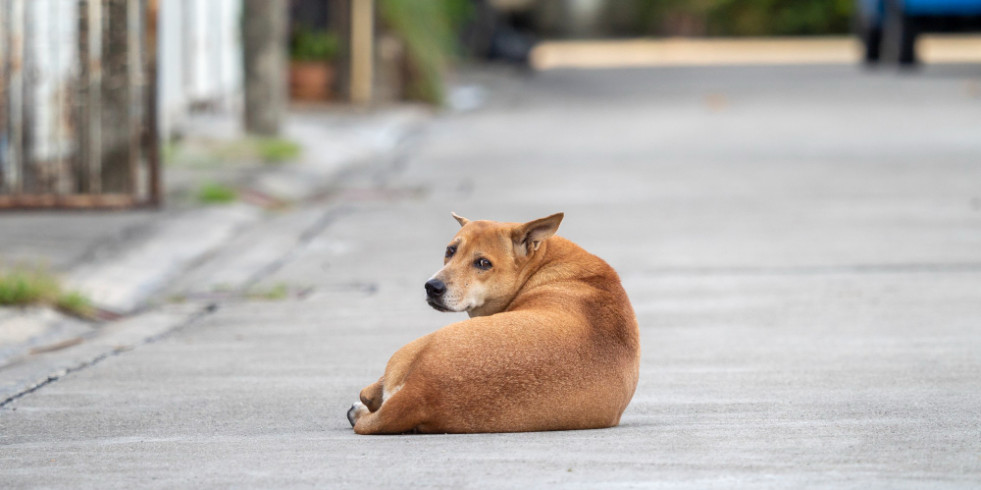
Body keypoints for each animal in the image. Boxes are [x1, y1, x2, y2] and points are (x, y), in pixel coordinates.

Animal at [348, 212, 640, 434]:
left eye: (483, 263)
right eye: (450, 251)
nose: (432, 287)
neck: (544, 262)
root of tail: (420, 392)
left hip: (409, 348)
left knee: (367, 394)